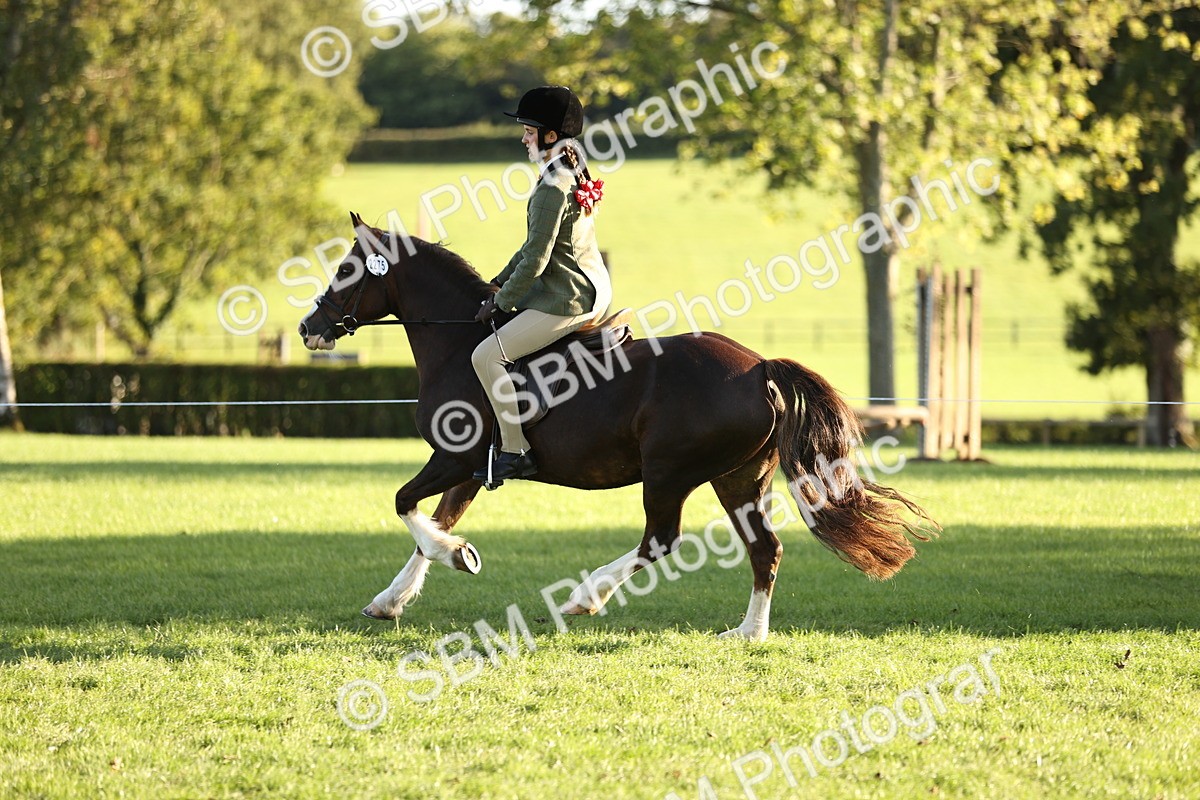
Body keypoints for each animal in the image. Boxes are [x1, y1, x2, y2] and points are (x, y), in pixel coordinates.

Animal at [298, 212, 938, 641]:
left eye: (347, 269)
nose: (309, 327)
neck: (458, 343)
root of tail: (758, 367)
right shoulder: (471, 468)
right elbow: (432, 521)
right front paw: (392, 600)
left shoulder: (453, 458)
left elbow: (407, 507)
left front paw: (459, 556)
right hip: (738, 479)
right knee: (764, 548)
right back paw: (748, 634)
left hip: (669, 473)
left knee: (661, 541)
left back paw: (585, 598)